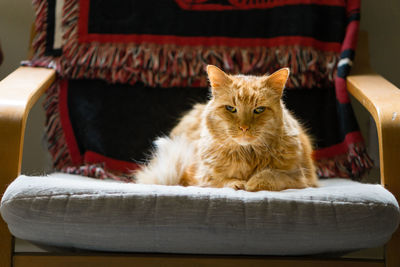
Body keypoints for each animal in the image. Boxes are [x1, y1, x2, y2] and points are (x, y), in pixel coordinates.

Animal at [135, 64, 318, 191]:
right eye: (231, 108)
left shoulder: (300, 177)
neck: (247, 154)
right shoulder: (200, 176)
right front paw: (238, 183)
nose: (244, 127)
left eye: (259, 110)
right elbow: (221, 180)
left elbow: (271, 174)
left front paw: (252, 183)